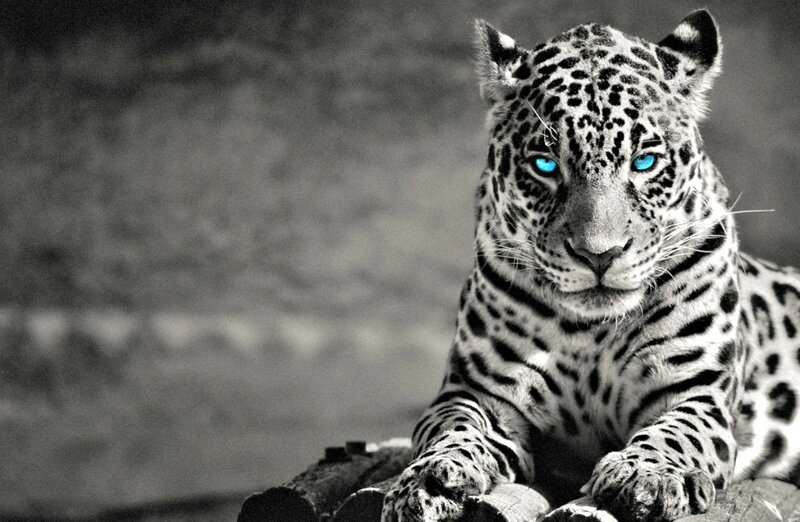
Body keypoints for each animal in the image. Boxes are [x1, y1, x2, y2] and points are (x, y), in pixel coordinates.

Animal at [381, 9, 800, 522]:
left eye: (645, 161)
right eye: (545, 164)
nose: (599, 254)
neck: (591, 332)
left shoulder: (697, 392)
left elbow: (676, 433)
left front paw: (647, 475)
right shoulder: (476, 392)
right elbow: (453, 428)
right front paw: (429, 479)